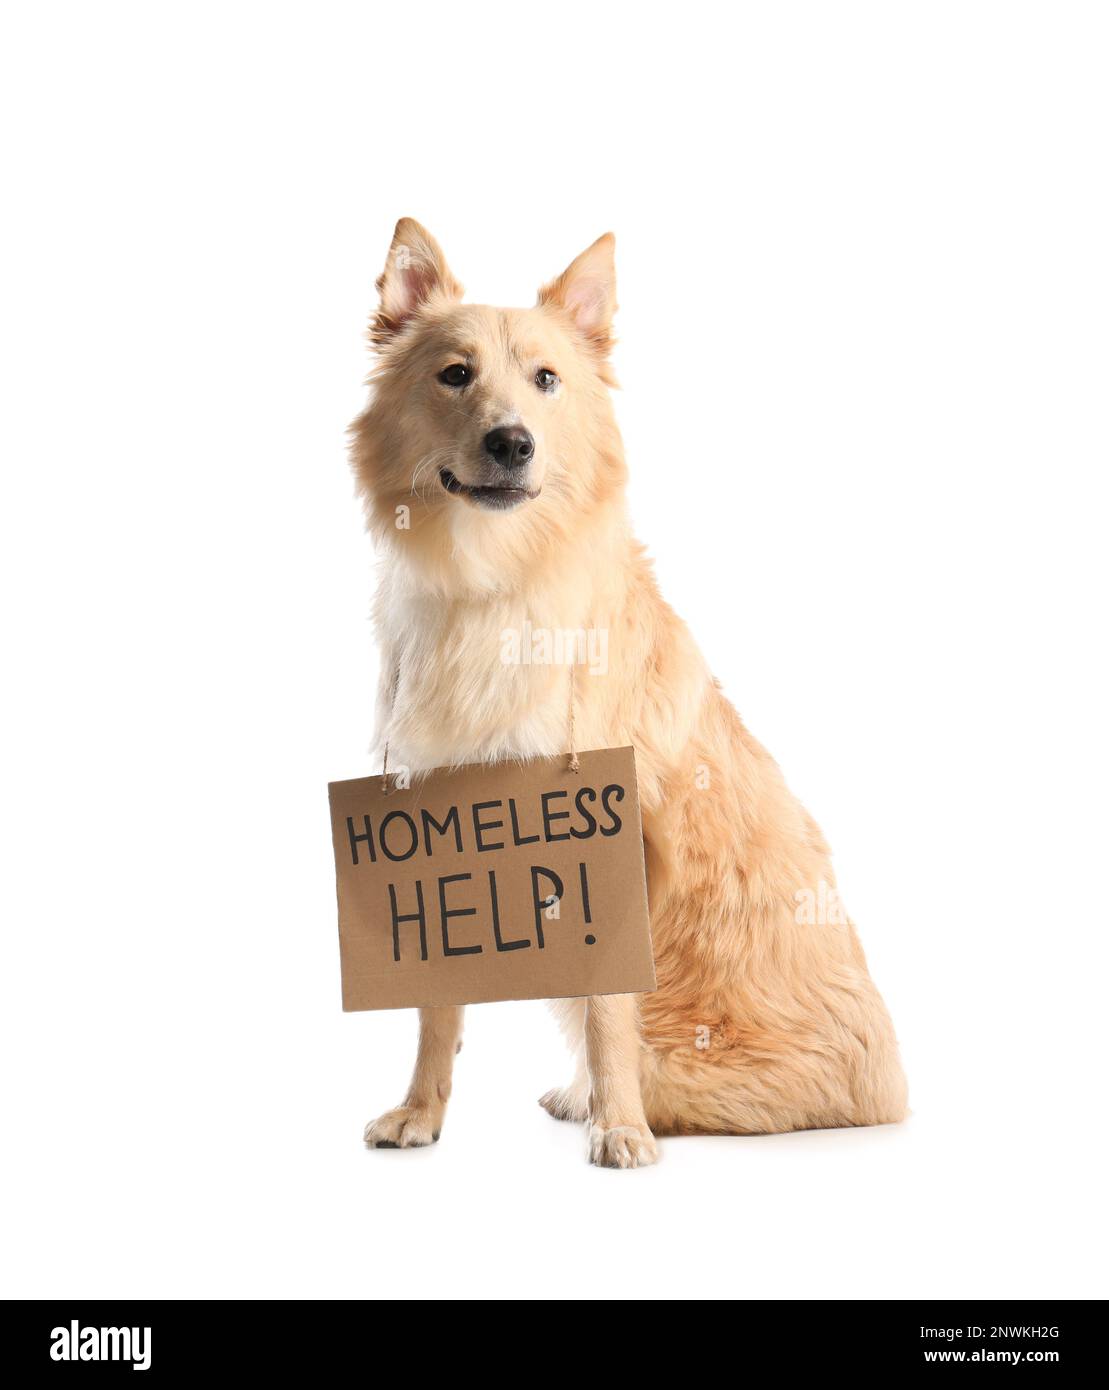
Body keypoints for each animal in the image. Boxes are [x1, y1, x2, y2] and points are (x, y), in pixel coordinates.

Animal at [351, 216, 906, 1167]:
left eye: (546, 380)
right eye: (455, 373)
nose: (512, 442)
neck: (490, 584)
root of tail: (893, 1087)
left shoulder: (611, 844)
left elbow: (608, 1008)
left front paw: (620, 1128)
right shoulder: (444, 837)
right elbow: (436, 1004)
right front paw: (421, 1112)